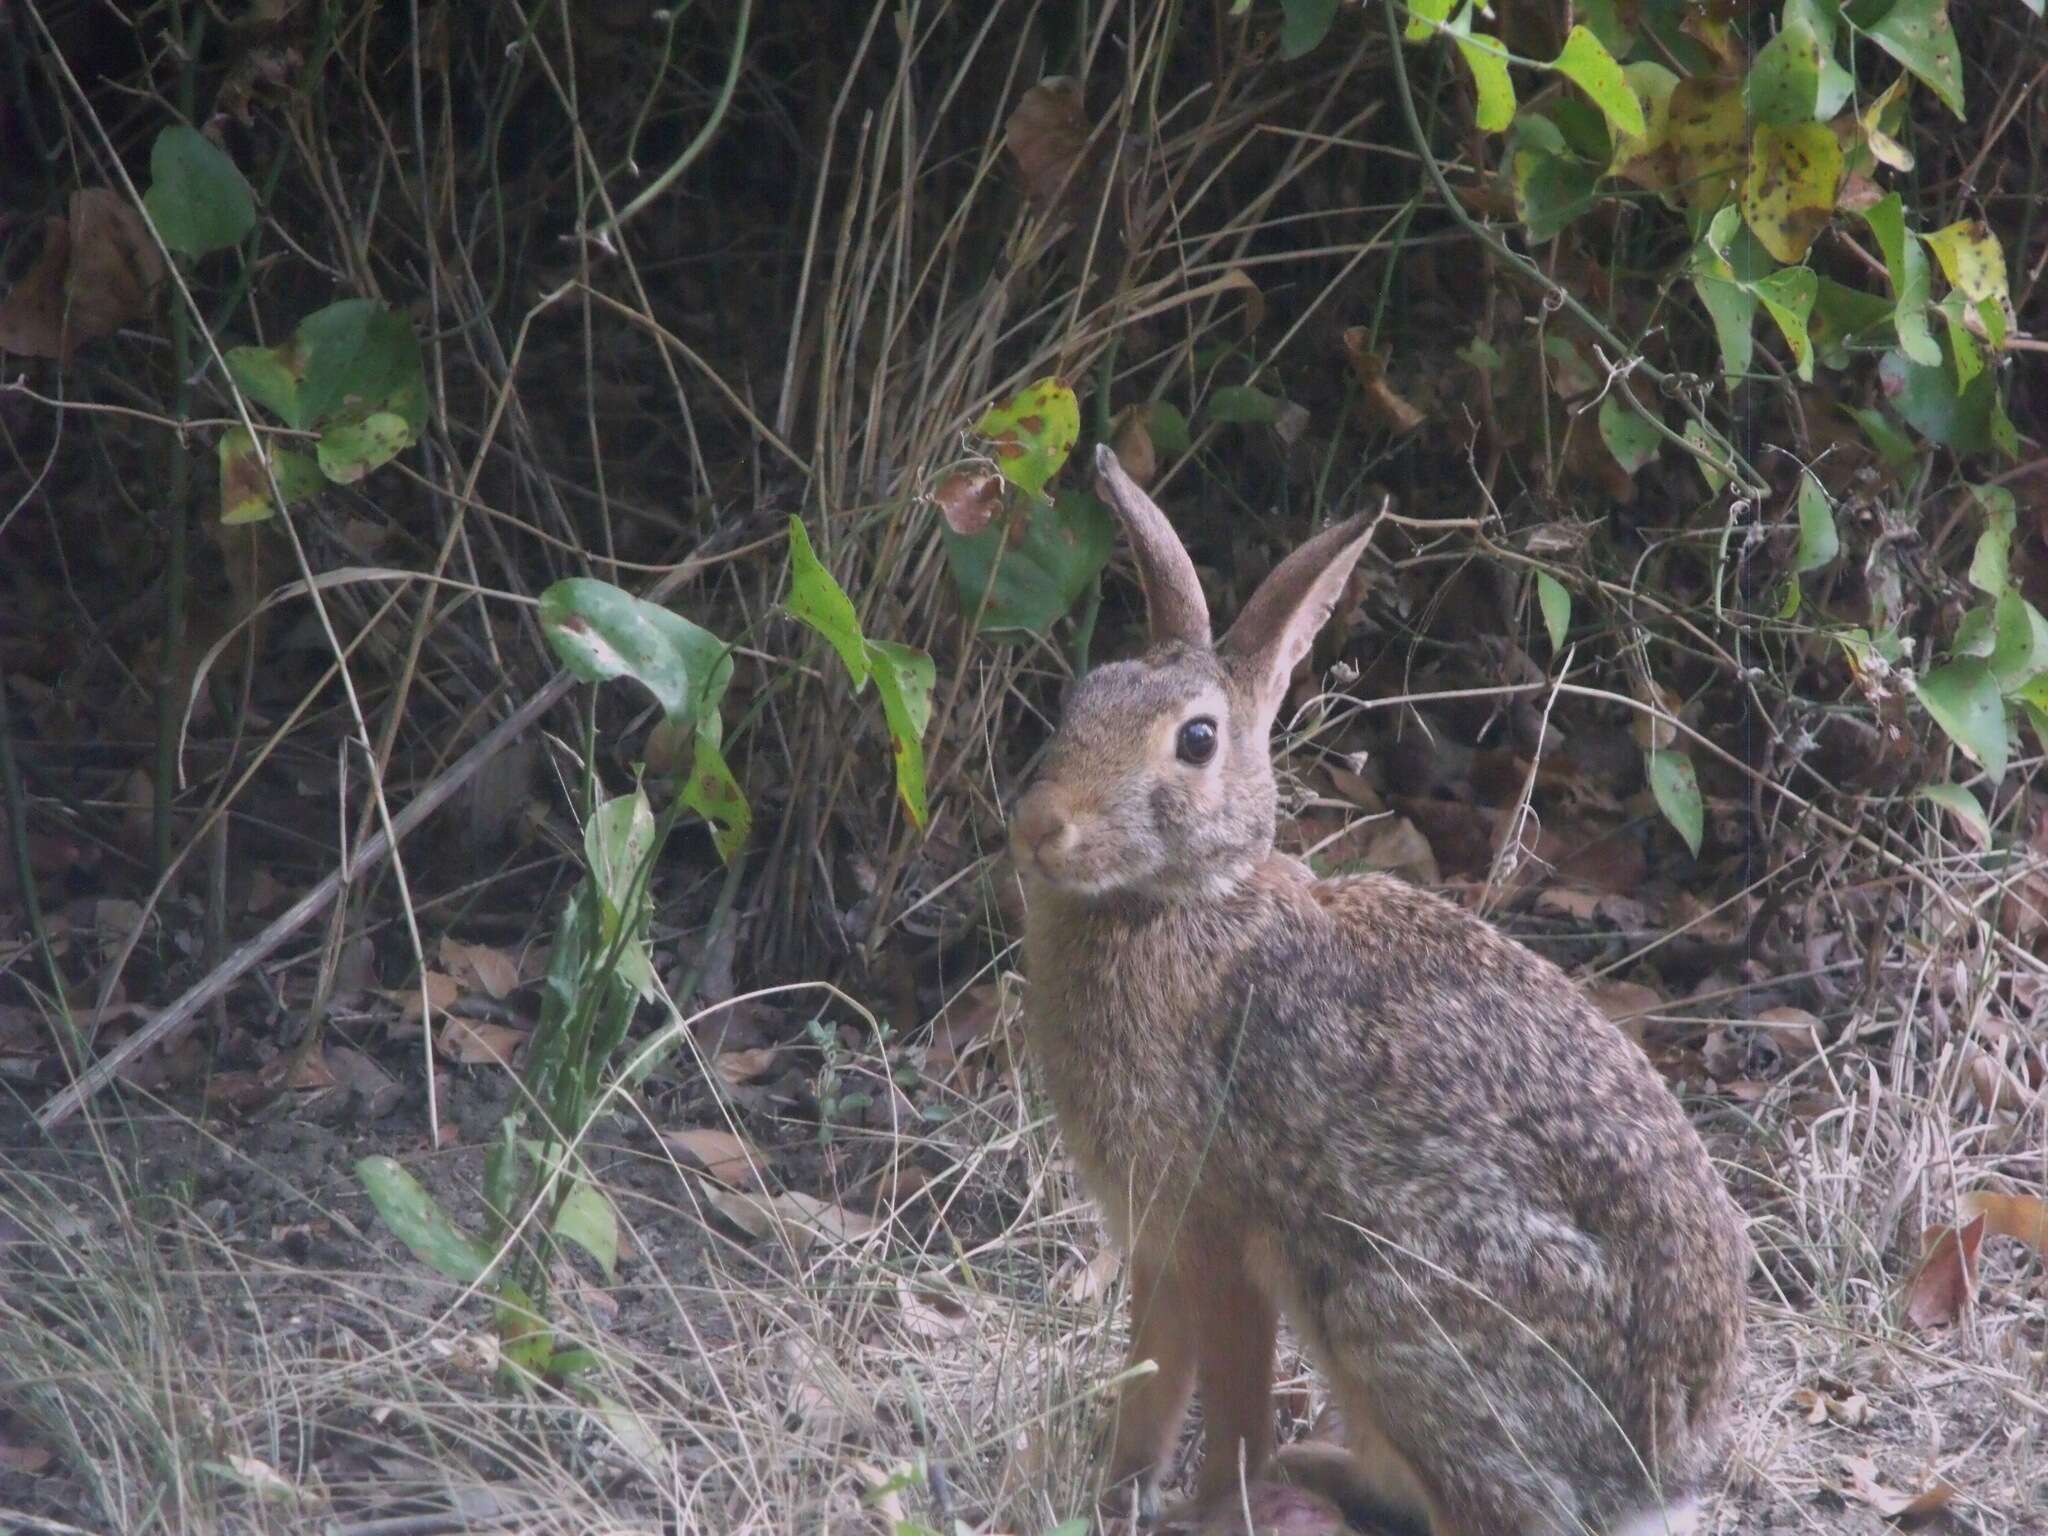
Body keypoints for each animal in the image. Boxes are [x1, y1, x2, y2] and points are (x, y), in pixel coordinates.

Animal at [1007, 448, 1744, 1536]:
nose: (1037, 827)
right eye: (1081, 697)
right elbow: (1153, 1378)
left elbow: (1228, 1396)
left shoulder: (1219, 1233)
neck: (1182, 905)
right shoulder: (1155, 1239)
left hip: (1389, 1310)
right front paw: (1117, 1493)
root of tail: (1661, 1473)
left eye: (1195, 741)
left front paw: (1208, 1512)